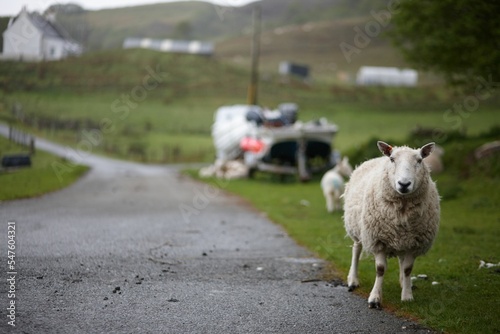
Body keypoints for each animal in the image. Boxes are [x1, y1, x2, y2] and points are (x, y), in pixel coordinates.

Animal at [342, 140, 440, 308]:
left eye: (420, 160)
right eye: (392, 159)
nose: (404, 184)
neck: (402, 211)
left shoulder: (414, 242)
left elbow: (407, 269)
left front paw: (407, 295)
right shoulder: (378, 240)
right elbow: (380, 269)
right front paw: (375, 298)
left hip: (403, 240)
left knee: (402, 261)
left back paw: (404, 283)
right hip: (358, 229)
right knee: (356, 250)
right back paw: (353, 280)